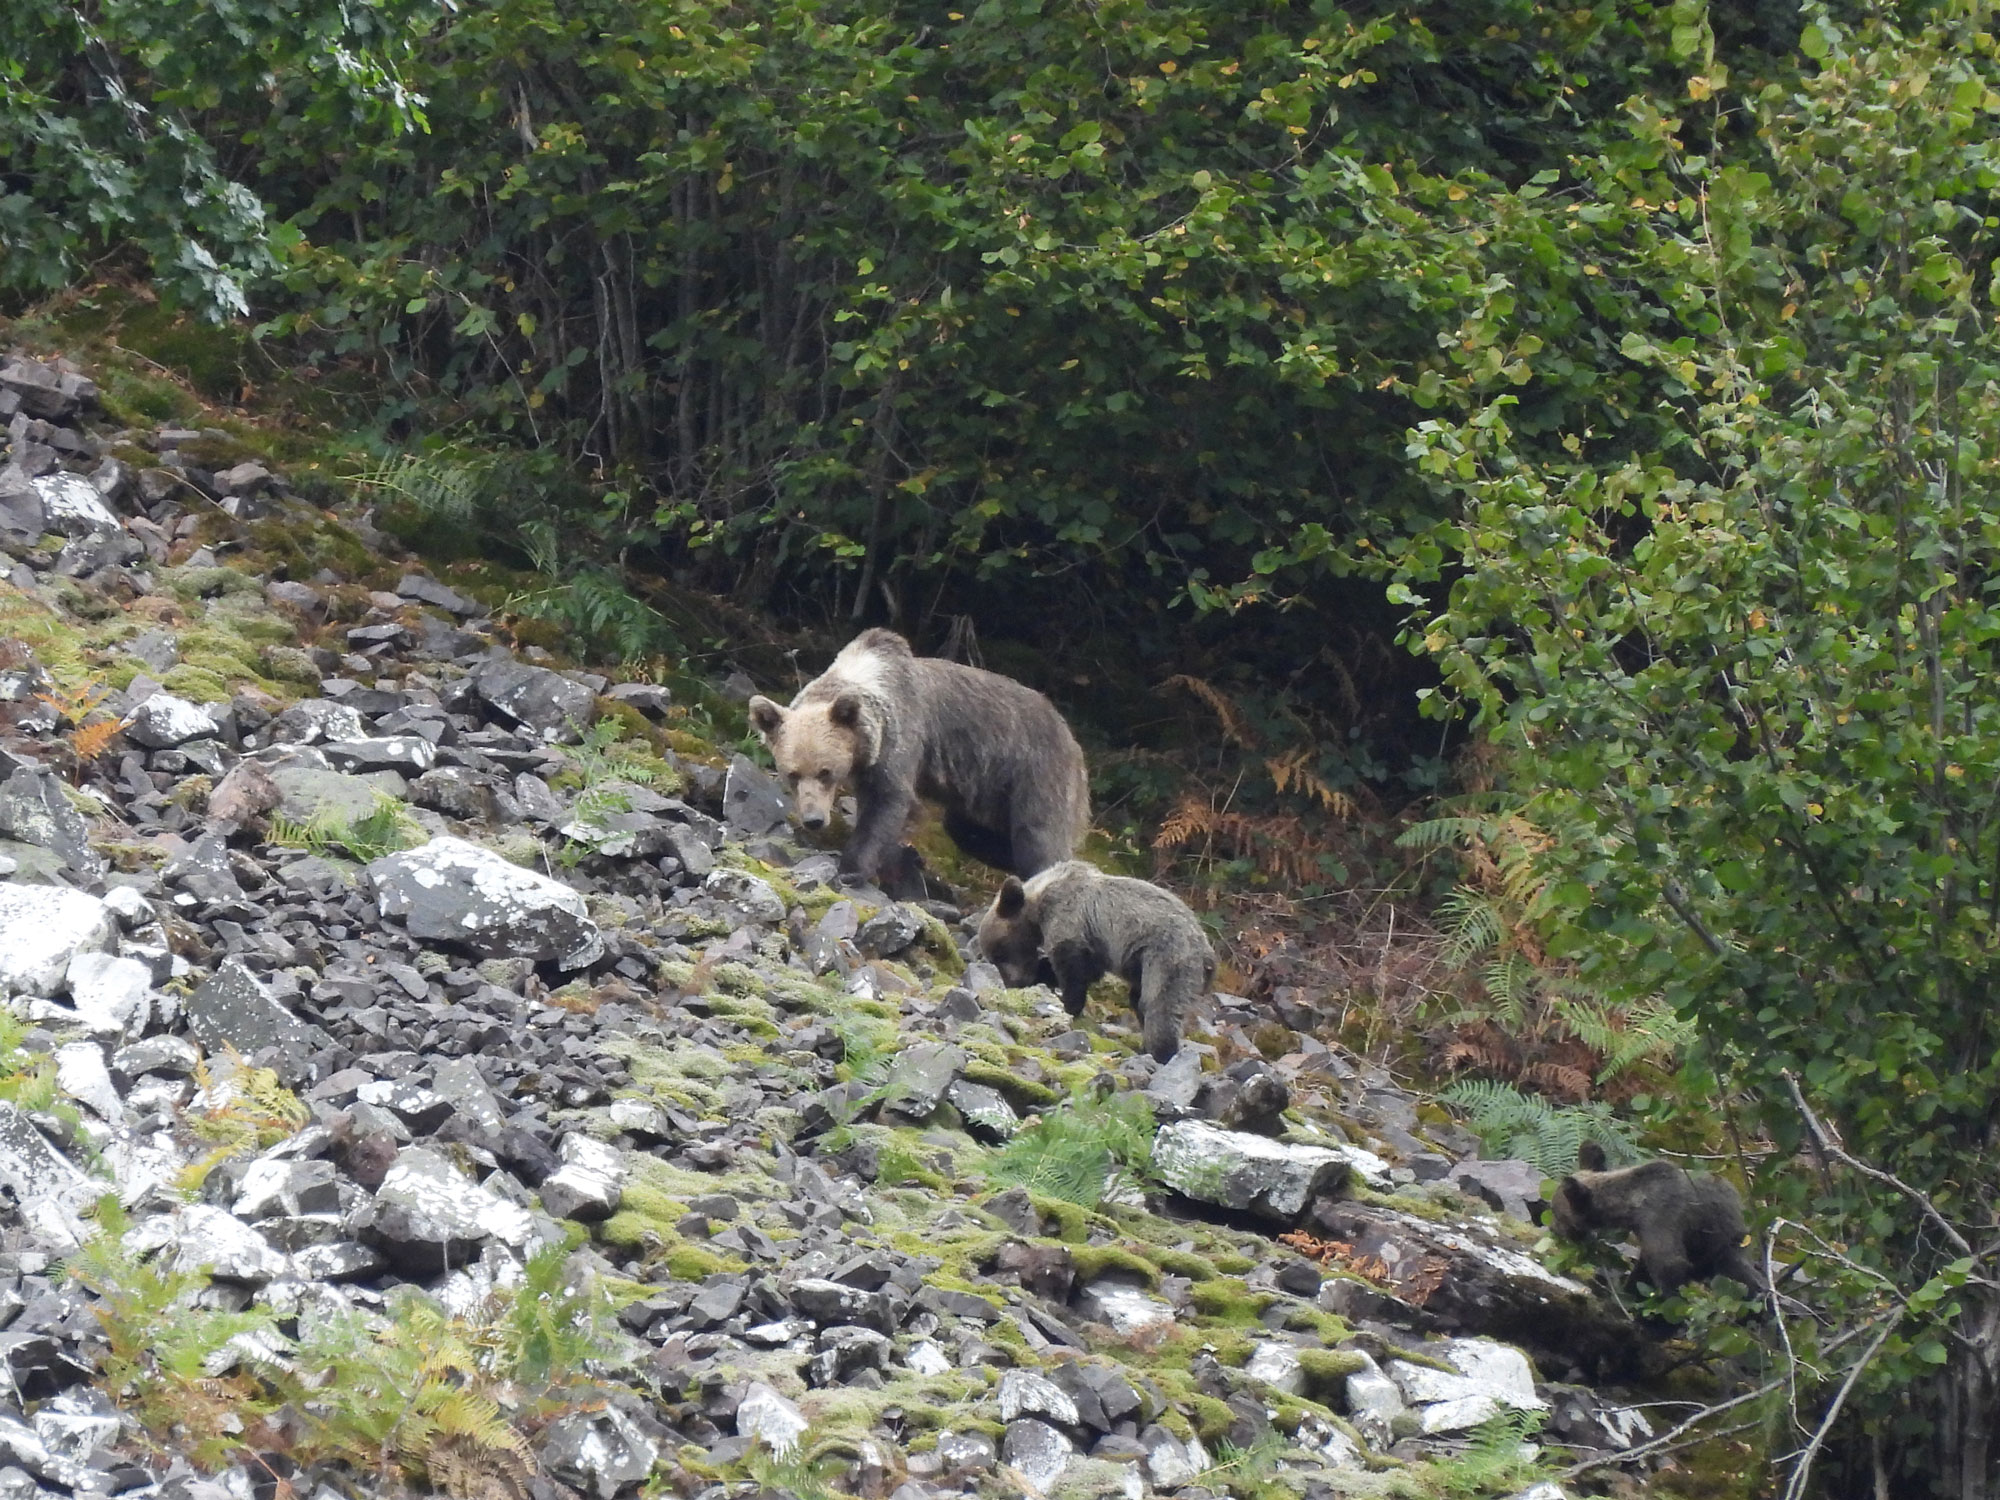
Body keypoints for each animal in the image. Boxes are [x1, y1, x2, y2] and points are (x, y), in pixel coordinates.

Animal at [744, 628, 1088, 900]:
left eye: (826, 772)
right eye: (792, 774)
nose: (814, 819)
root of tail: (1072, 739)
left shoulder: (900, 741)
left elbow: (888, 802)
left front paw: (852, 868)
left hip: (1036, 771)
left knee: (1038, 836)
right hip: (985, 791)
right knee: (968, 831)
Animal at [976, 864, 1208, 1064]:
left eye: (1000, 952)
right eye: (995, 957)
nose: (1014, 981)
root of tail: (1207, 950)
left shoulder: (1067, 917)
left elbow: (1071, 967)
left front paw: (1068, 1004)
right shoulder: (1096, 945)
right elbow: (1089, 969)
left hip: (1167, 955)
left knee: (1159, 1003)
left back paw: (1162, 1052)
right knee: (1138, 998)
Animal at [1544, 1144, 1768, 1296]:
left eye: (1556, 1212)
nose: (1552, 1228)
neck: (1632, 1206)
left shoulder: (1662, 1218)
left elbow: (1668, 1264)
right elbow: (1644, 1271)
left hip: (1723, 1238)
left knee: (1736, 1269)